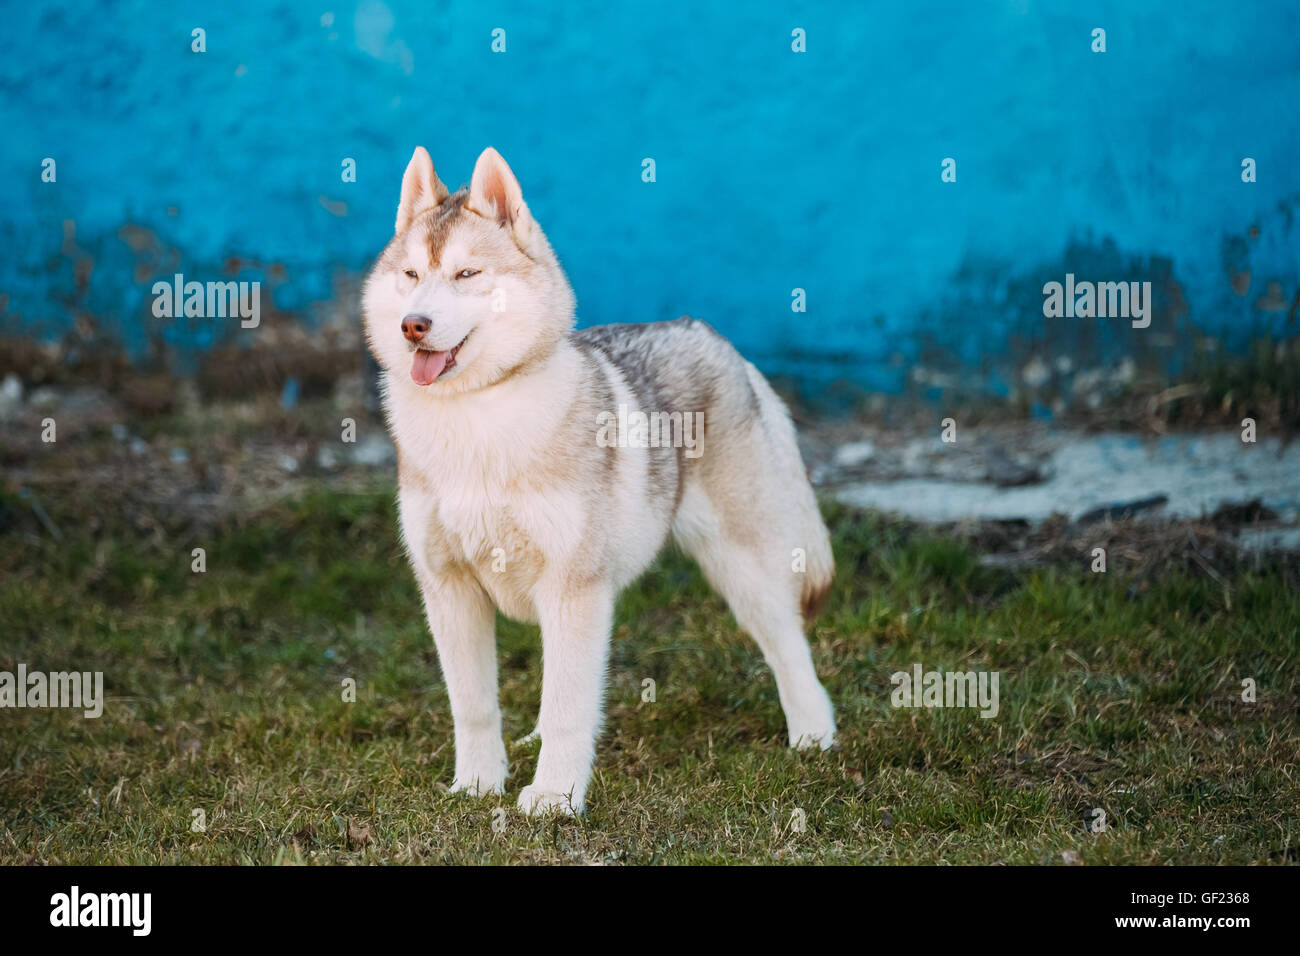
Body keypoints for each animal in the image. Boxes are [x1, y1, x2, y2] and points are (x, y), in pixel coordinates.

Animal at [361, 147, 837, 816]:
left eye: (466, 274)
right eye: (410, 275)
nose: (413, 325)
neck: (478, 419)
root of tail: (716, 339)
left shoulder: (573, 588)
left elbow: (568, 709)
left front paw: (553, 798)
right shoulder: (449, 588)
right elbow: (475, 707)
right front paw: (477, 786)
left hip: (744, 570)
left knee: (790, 647)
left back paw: (814, 736)